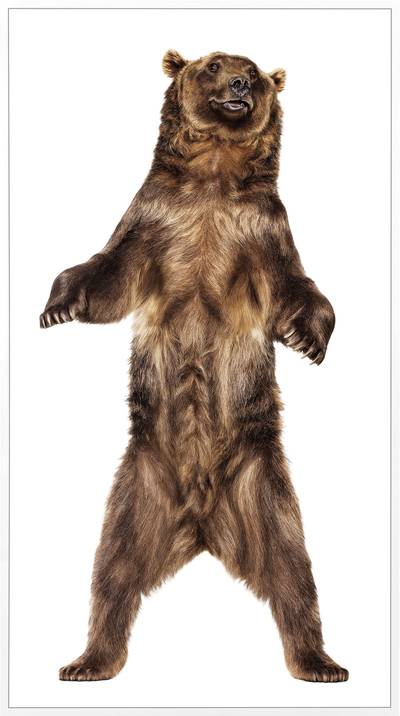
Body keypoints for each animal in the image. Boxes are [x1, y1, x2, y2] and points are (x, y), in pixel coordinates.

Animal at [40, 50, 348, 684]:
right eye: (213, 65)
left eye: (254, 71)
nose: (239, 84)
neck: (213, 177)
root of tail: (203, 523)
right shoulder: (152, 220)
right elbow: (107, 274)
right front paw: (57, 305)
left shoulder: (263, 230)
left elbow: (295, 287)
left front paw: (307, 338)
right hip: (139, 490)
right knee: (111, 571)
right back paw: (88, 660)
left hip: (264, 489)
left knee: (294, 573)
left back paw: (319, 661)